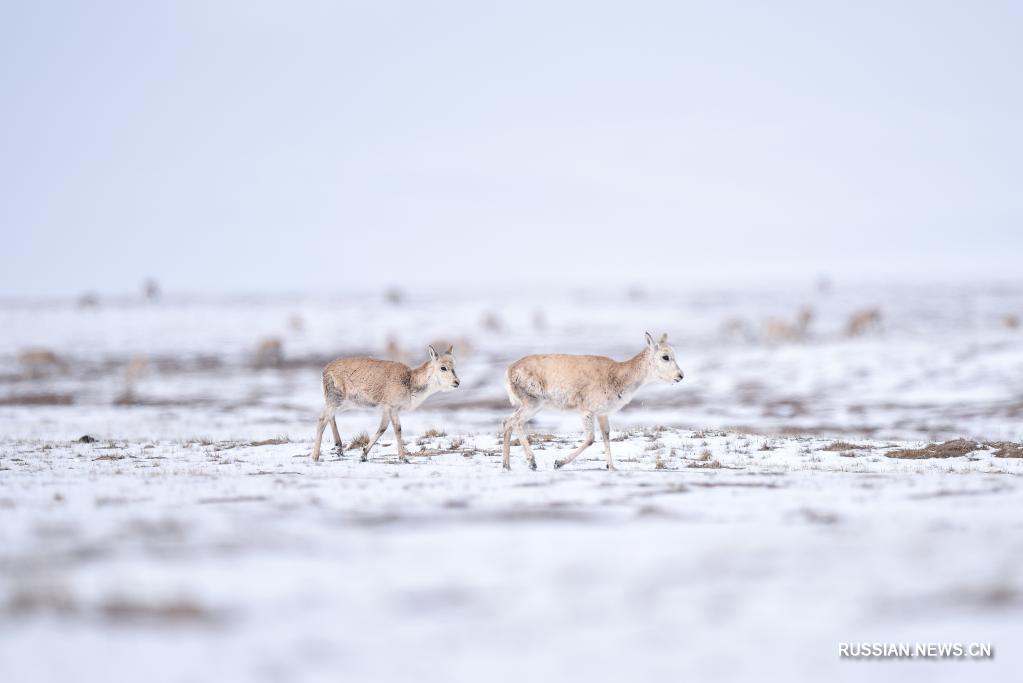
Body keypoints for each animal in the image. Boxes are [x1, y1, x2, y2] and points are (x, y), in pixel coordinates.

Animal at [306, 343, 460, 462]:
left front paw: (363, 454)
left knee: (330, 418)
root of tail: (325, 370)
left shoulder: (386, 410)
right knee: (322, 419)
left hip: (341, 403)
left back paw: (339, 448)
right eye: (443, 367)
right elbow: (397, 429)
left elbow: (382, 428)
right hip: (336, 400)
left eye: (454, 365)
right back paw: (315, 456)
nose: (457, 382)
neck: (410, 381)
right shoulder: (392, 408)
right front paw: (403, 457)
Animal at [499, 333, 683, 472]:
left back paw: (506, 465)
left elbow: (606, 436)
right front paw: (559, 462)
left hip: (530, 406)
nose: (680, 376)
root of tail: (509, 370)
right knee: (516, 422)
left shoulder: (602, 414)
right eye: (665, 357)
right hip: (533, 404)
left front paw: (612, 467)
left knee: (507, 421)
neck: (619, 374)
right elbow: (590, 439)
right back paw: (531, 462)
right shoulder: (587, 411)